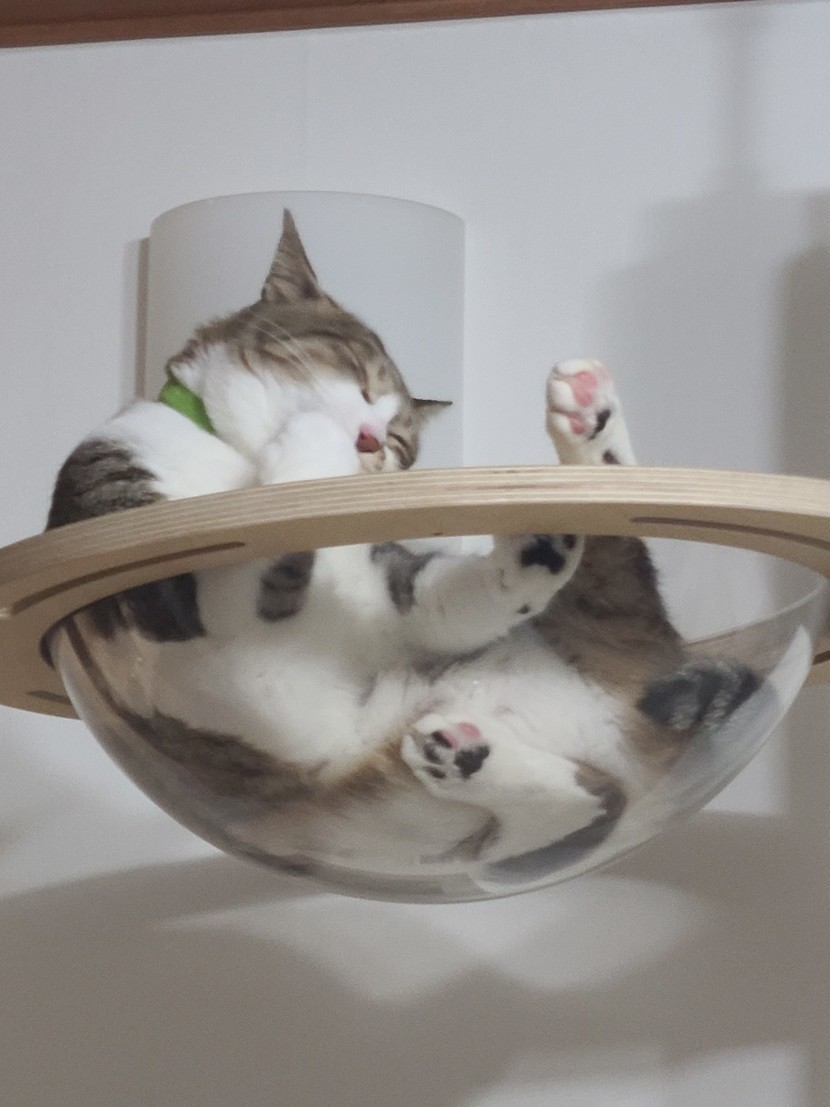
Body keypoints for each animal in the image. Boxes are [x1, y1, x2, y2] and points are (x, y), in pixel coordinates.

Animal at [46, 211, 759, 889]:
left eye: (398, 438)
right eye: (360, 376)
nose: (367, 438)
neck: (239, 460)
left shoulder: (389, 589)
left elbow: (445, 604)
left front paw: (528, 557)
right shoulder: (148, 578)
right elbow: (248, 580)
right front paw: (313, 439)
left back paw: (582, 440)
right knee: (586, 806)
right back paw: (465, 753)